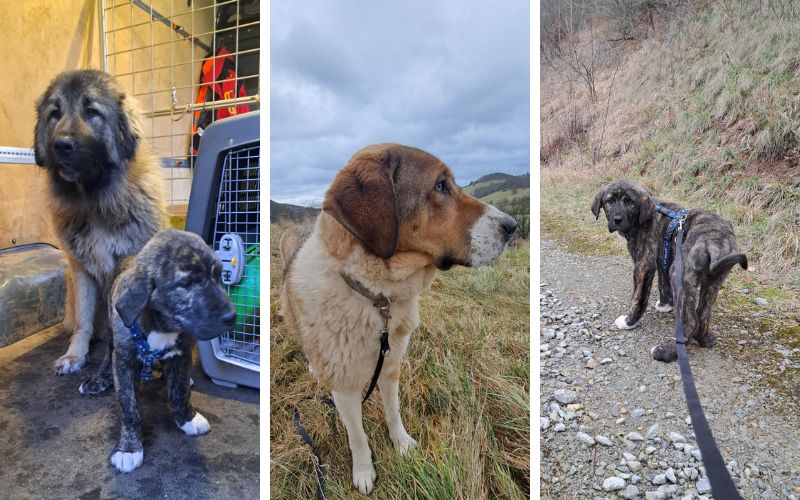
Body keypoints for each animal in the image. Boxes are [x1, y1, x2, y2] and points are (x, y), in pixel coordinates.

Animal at [33, 69, 166, 394]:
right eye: (54, 114)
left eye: (91, 112)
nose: (61, 145)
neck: (94, 201)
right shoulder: (81, 269)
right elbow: (83, 322)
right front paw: (74, 356)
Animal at [282, 143, 520, 494]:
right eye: (440, 186)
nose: (512, 225)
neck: (374, 297)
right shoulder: (345, 389)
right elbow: (357, 436)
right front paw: (364, 472)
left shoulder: (391, 366)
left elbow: (393, 413)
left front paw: (402, 444)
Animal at [592, 182, 748, 362]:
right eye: (609, 201)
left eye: (630, 202)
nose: (617, 220)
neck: (642, 218)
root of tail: (717, 240)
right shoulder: (662, 257)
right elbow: (662, 283)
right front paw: (665, 305)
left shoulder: (644, 264)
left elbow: (638, 297)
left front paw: (628, 321)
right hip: (714, 279)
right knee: (703, 314)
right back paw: (704, 339)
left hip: (680, 271)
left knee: (691, 320)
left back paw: (666, 352)